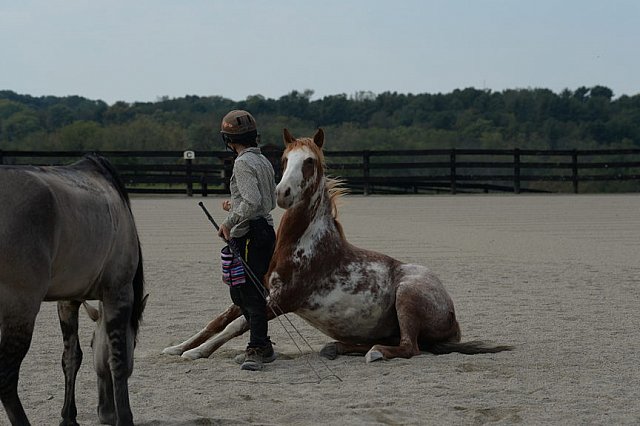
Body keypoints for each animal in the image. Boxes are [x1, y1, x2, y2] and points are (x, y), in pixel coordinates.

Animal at [0, 156, 146, 426]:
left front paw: (68, 417)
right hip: (20, 308)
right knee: (6, 377)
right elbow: (117, 359)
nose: (106, 413)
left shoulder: (68, 301)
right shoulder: (118, 292)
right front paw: (125, 417)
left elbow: (71, 357)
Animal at [164, 128, 510, 362]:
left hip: (407, 296)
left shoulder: (282, 300)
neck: (304, 246)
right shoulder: (261, 290)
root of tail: (453, 319)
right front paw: (177, 347)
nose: (282, 193)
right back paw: (337, 347)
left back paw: (374, 353)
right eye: (285, 159)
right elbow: (218, 320)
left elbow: (236, 325)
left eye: (309, 162)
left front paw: (196, 354)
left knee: (410, 347)